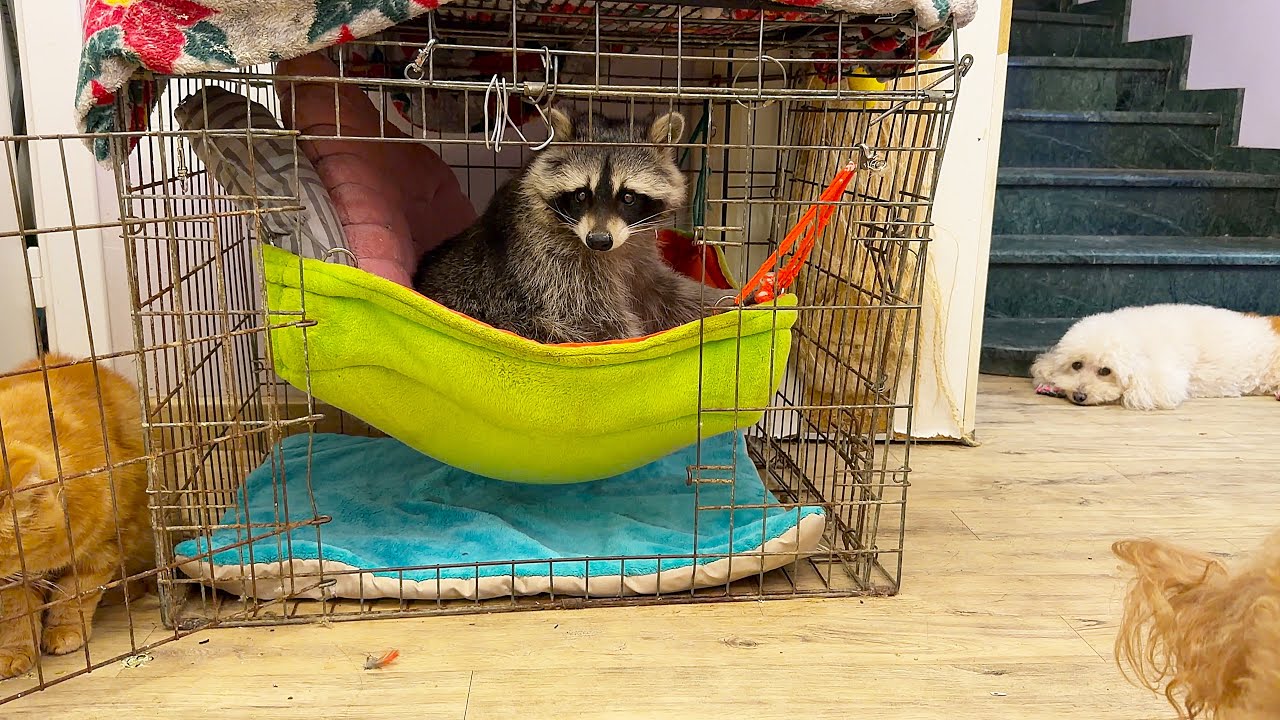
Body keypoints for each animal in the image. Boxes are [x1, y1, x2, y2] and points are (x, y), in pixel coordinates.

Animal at [412, 107, 725, 344]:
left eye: (628, 197)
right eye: (581, 195)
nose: (599, 240)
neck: (612, 252)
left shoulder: (636, 250)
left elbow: (659, 289)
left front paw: (718, 300)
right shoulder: (548, 261)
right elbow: (593, 321)